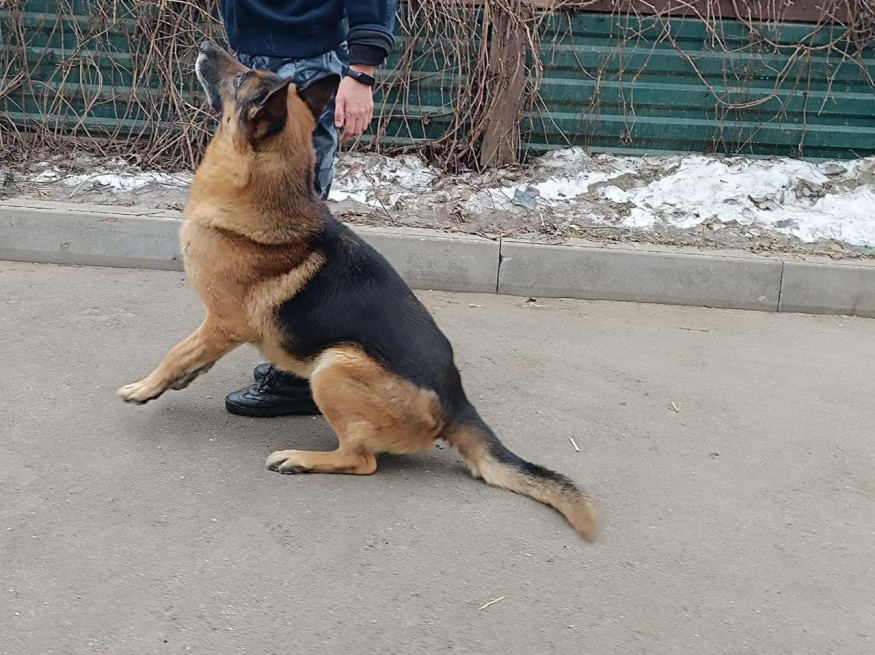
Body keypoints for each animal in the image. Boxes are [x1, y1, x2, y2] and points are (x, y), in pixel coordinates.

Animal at [118, 42, 596, 544]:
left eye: (242, 77)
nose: (207, 46)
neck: (264, 192)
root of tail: (455, 402)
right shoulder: (219, 329)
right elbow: (191, 356)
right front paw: (176, 381)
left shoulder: (223, 322)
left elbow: (176, 350)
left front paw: (143, 388)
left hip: (333, 366)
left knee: (361, 460)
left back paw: (300, 459)